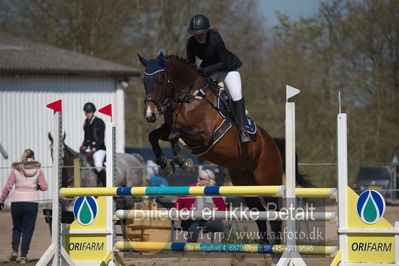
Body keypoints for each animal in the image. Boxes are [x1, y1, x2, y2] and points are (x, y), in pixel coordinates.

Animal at [138, 52, 312, 245]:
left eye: (160, 80)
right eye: (144, 80)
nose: (150, 114)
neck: (187, 98)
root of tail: (273, 143)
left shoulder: (203, 134)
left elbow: (174, 135)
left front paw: (184, 162)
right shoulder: (169, 127)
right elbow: (154, 136)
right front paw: (166, 164)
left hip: (268, 180)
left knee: (274, 214)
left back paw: (276, 246)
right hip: (245, 183)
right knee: (259, 213)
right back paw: (265, 246)